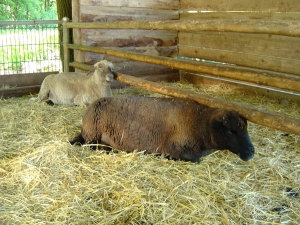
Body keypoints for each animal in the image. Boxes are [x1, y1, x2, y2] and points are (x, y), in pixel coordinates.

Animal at [70, 96, 255, 163]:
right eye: (231, 131)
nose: (251, 152)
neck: (199, 124)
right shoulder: (177, 147)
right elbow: (194, 159)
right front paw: (164, 156)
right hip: (94, 134)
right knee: (91, 145)